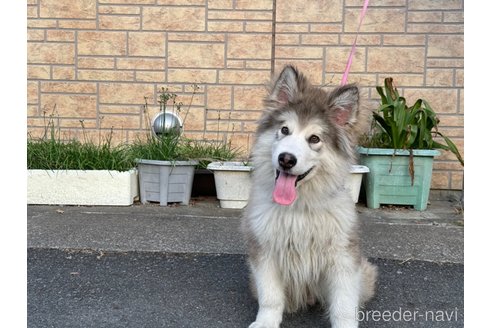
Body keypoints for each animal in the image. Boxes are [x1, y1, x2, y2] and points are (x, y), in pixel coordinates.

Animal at [242, 64, 376, 328]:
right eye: (284, 130)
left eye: (314, 138)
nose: (286, 159)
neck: (298, 207)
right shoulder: (263, 251)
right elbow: (270, 296)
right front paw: (266, 322)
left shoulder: (343, 255)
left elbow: (344, 303)